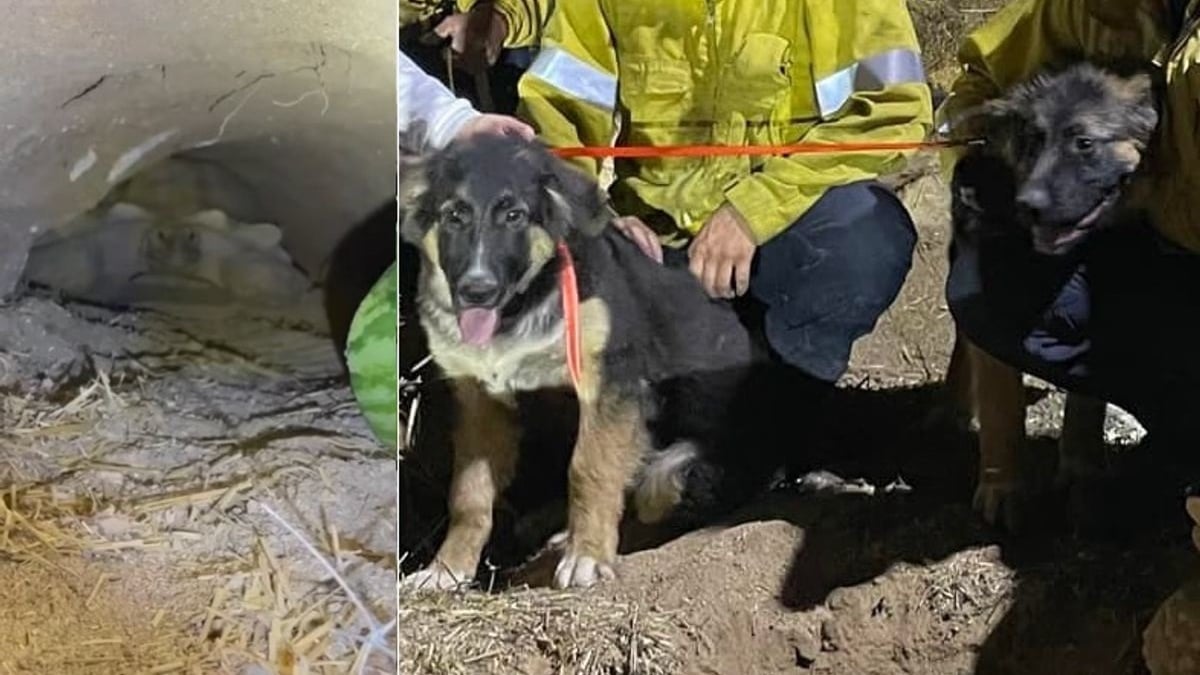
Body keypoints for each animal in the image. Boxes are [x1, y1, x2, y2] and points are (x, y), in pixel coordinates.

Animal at [398, 132, 782, 588]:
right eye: (454, 216)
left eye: (514, 215)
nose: (477, 291)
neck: (521, 311)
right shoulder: (480, 402)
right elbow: (468, 493)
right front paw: (447, 569)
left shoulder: (609, 385)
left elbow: (589, 468)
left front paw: (588, 557)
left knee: (661, 488)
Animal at [940, 60, 1156, 528]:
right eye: (1033, 140)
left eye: (1084, 143)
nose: (1029, 204)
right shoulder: (989, 301)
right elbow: (1001, 403)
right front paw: (1002, 488)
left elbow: (1088, 400)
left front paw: (1081, 468)